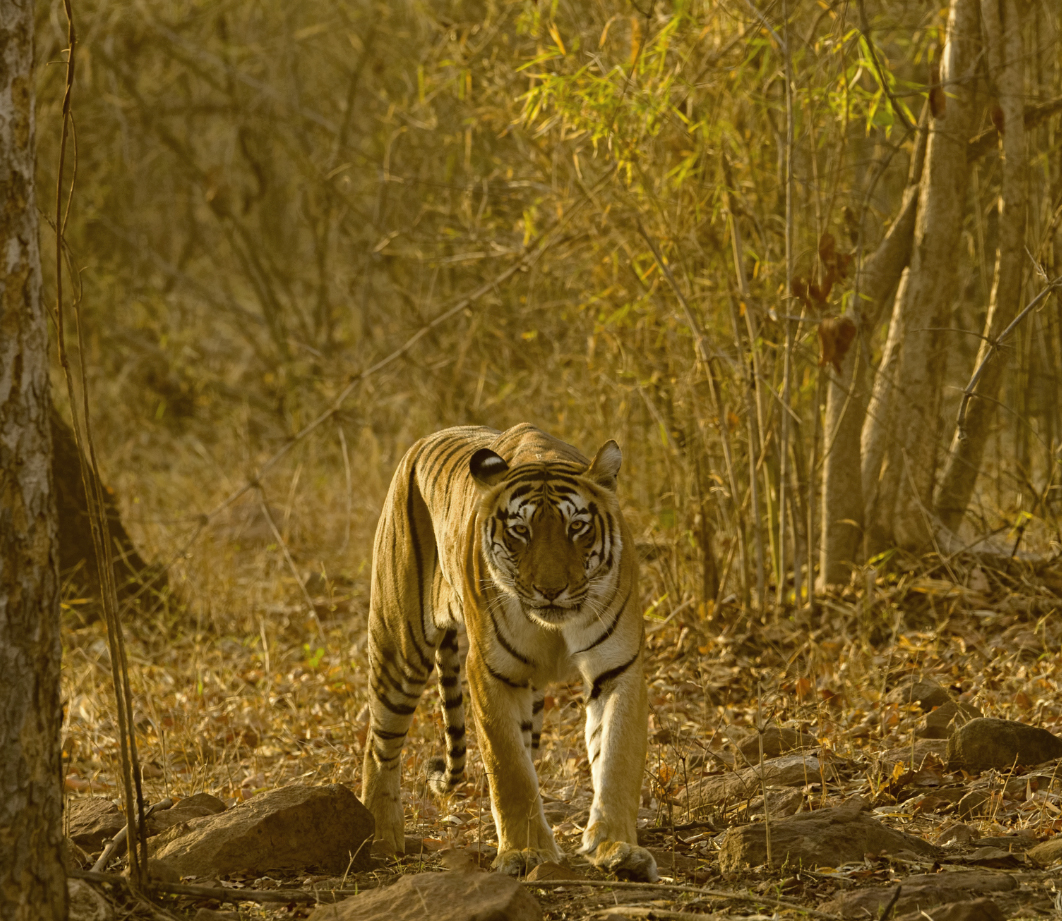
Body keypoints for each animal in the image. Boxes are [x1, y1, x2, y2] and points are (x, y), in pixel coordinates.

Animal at [363, 424, 654, 879]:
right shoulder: (490, 671)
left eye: (577, 527)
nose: (551, 590)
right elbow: (509, 769)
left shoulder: (618, 668)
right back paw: (381, 839)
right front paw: (525, 852)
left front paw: (617, 848)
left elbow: (617, 759)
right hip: (398, 646)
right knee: (378, 745)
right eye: (521, 531)